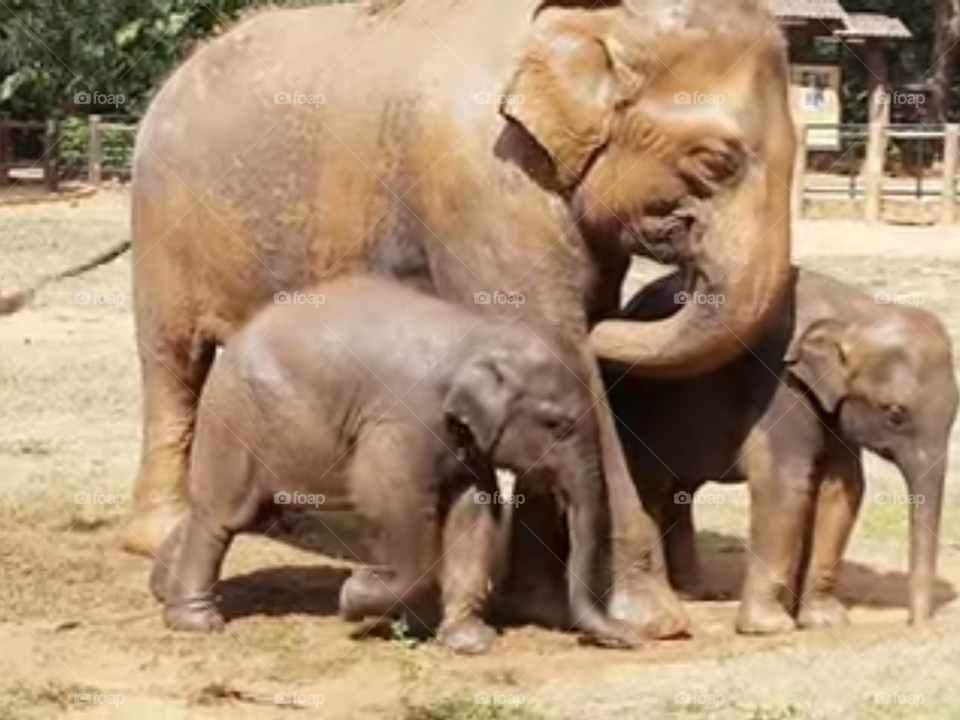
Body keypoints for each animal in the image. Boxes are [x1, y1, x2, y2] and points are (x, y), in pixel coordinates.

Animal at [150, 274, 632, 652]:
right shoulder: (402, 421)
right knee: (222, 517)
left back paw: (159, 589)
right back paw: (197, 622)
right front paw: (355, 594)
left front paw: (469, 643)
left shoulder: (461, 440)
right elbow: (393, 504)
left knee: (242, 512)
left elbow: (474, 513)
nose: (632, 637)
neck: (480, 335)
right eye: (556, 424)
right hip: (237, 417)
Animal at [612, 270, 956, 636]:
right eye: (895, 414)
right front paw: (769, 627)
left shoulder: (828, 402)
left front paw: (823, 620)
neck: (856, 311)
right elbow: (785, 483)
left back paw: (695, 592)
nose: (918, 625)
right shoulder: (781, 386)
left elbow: (842, 485)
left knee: (679, 493)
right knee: (652, 487)